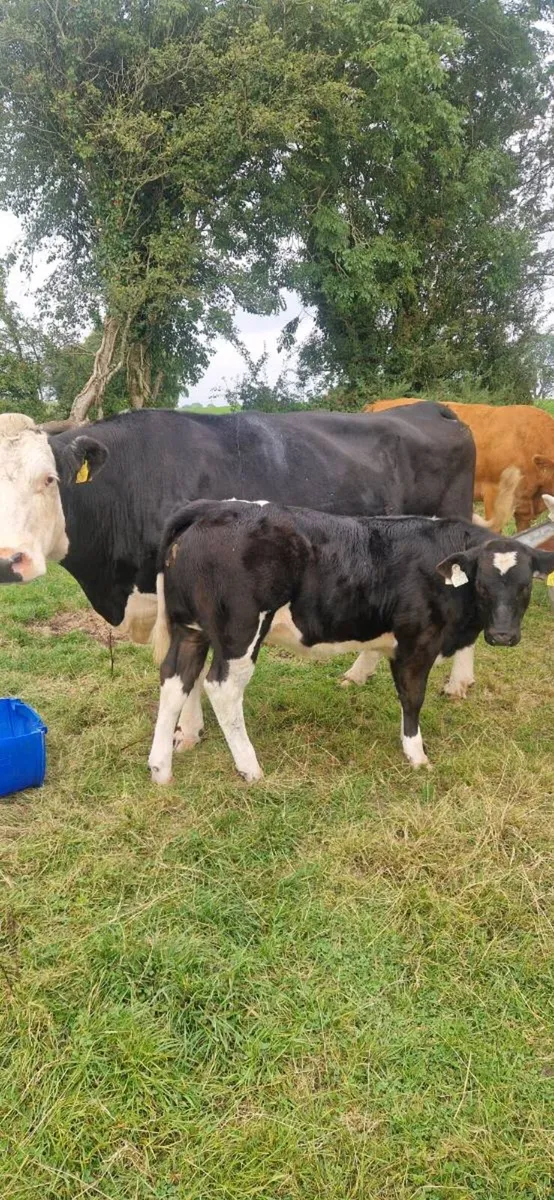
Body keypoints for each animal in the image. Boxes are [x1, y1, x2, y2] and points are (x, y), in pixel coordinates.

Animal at [147, 500, 554, 784]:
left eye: (525, 586)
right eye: (482, 585)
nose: (503, 635)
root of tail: (213, 507)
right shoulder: (418, 642)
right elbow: (412, 697)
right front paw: (416, 754)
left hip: (191, 629)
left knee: (175, 679)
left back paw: (160, 768)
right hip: (239, 633)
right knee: (222, 687)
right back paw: (250, 767)